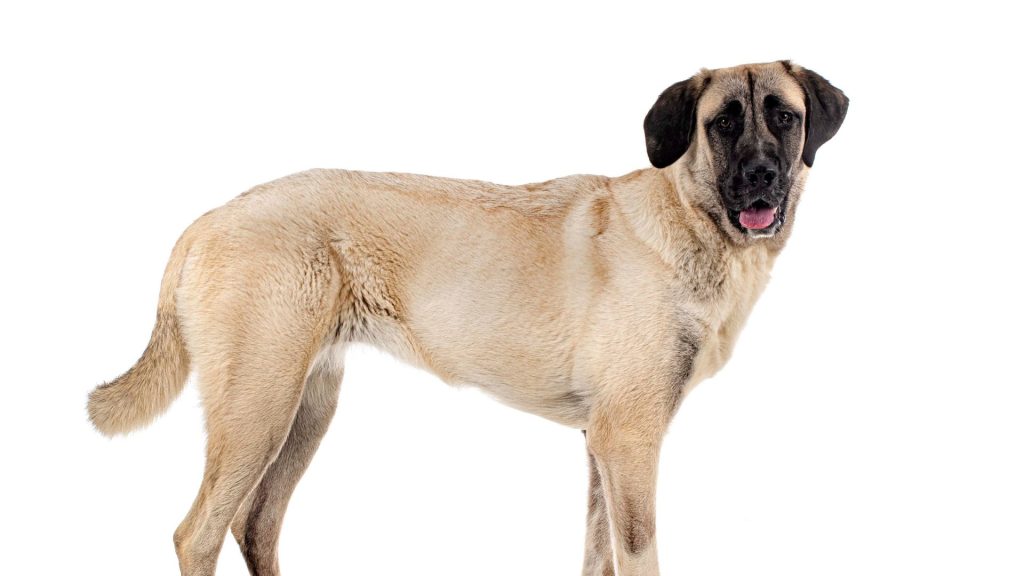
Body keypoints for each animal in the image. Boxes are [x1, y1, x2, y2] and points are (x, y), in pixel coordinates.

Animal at [88, 59, 847, 573]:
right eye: (723, 122)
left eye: (783, 116)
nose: (760, 177)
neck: (690, 221)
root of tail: (209, 219)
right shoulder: (629, 441)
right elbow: (640, 557)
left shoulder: (602, 446)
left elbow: (598, 556)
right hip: (258, 409)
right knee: (198, 533)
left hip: (303, 409)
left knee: (257, 525)